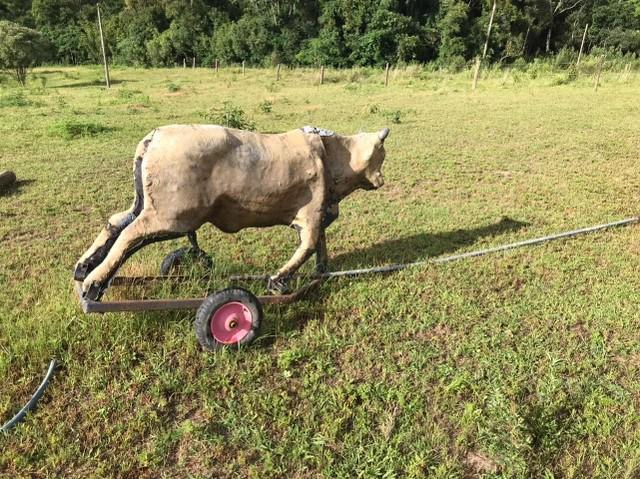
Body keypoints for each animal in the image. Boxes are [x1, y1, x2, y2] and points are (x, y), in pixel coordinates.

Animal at [73, 124, 388, 300]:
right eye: (380, 155)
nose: (382, 180)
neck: (333, 155)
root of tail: (154, 137)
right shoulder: (310, 215)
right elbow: (309, 245)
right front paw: (278, 280)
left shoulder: (320, 213)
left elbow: (320, 245)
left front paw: (322, 271)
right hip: (170, 215)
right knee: (129, 234)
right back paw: (93, 284)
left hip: (146, 204)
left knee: (115, 221)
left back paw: (83, 267)